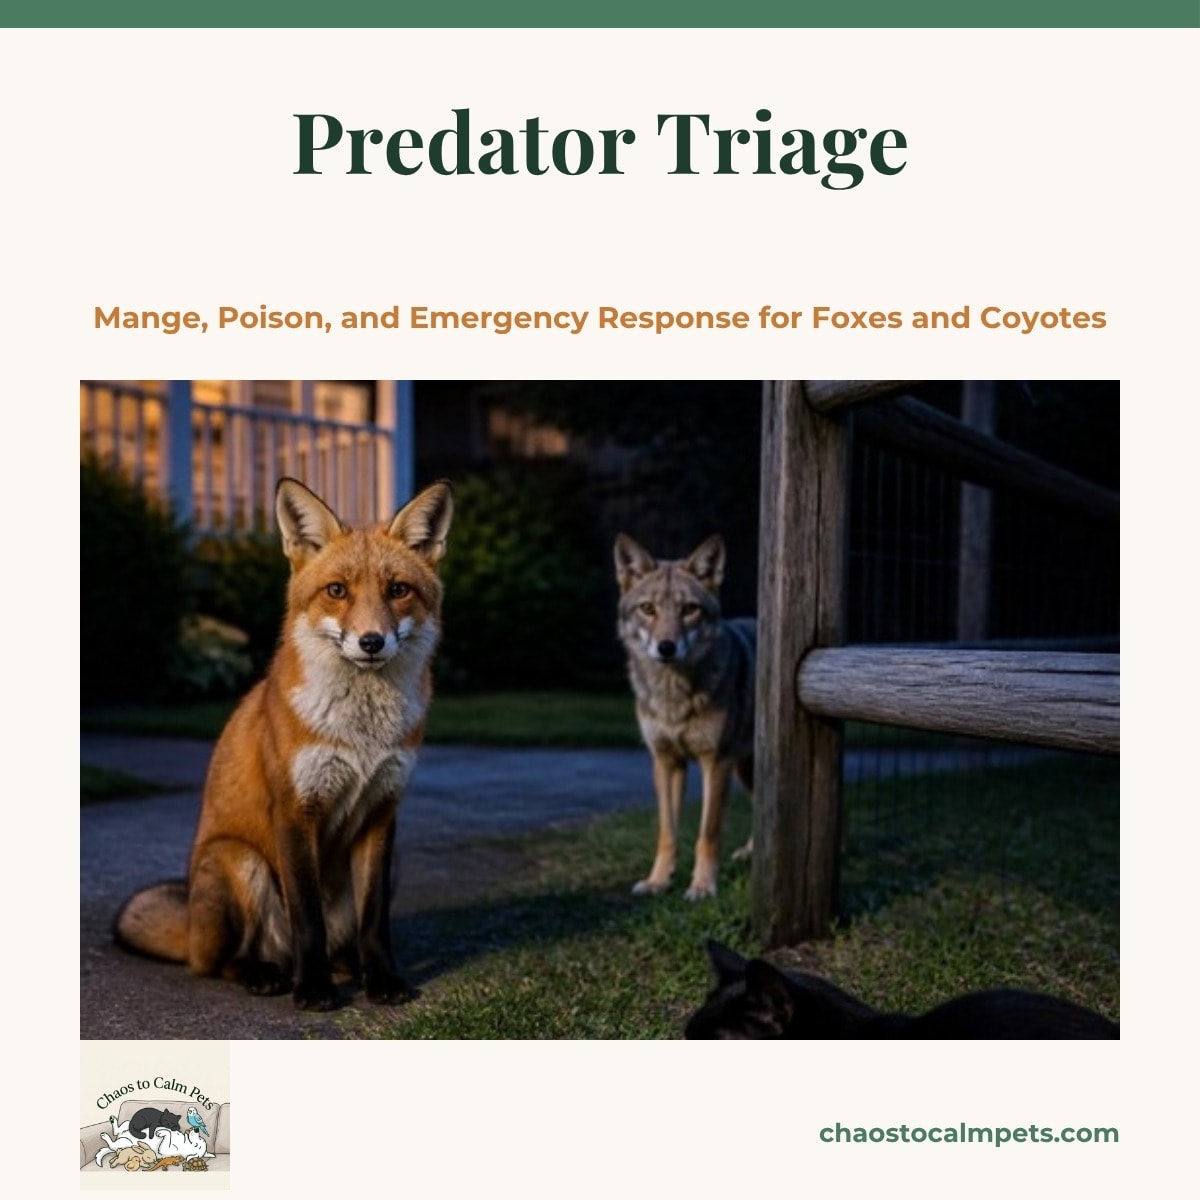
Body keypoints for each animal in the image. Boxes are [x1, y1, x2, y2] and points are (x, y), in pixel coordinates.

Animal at [114, 477, 454, 1011]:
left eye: (398, 590)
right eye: (337, 591)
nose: (371, 642)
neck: (361, 734)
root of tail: (191, 931)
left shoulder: (383, 810)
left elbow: (374, 921)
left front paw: (381, 980)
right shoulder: (296, 810)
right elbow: (307, 918)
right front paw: (312, 988)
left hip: (390, 858)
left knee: (343, 941)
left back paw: (348, 966)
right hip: (240, 861)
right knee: (220, 963)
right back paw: (267, 973)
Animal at [614, 532, 756, 900]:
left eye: (689, 609)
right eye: (648, 609)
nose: (666, 646)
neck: (673, 694)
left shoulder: (715, 762)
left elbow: (708, 834)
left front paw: (703, 886)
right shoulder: (666, 762)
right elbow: (667, 833)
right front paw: (658, 881)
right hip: (745, 770)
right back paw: (750, 852)